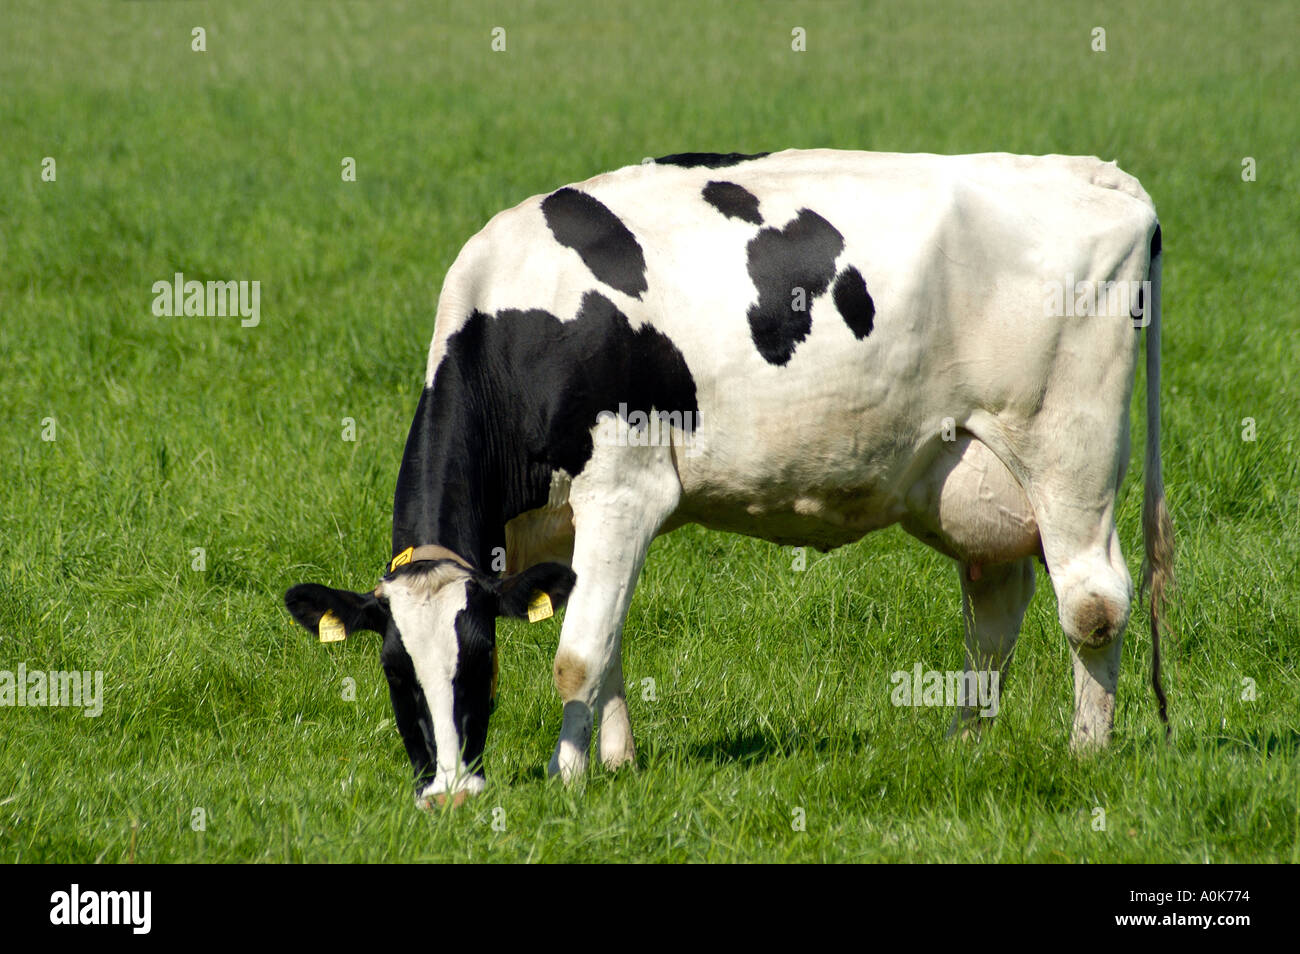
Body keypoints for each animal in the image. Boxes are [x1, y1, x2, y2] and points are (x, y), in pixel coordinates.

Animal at [285, 149, 1173, 808]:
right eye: (395, 672)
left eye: (480, 662)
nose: (449, 798)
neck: (516, 325)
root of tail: (1098, 174)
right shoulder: (562, 526)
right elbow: (608, 635)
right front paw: (617, 763)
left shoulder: (624, 489)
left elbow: (578, 653)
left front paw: (568, 781)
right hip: (970, 476)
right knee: (993, 607)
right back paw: (964, 747)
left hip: (1069, 449)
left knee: (1092, 604)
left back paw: (1086, 757)